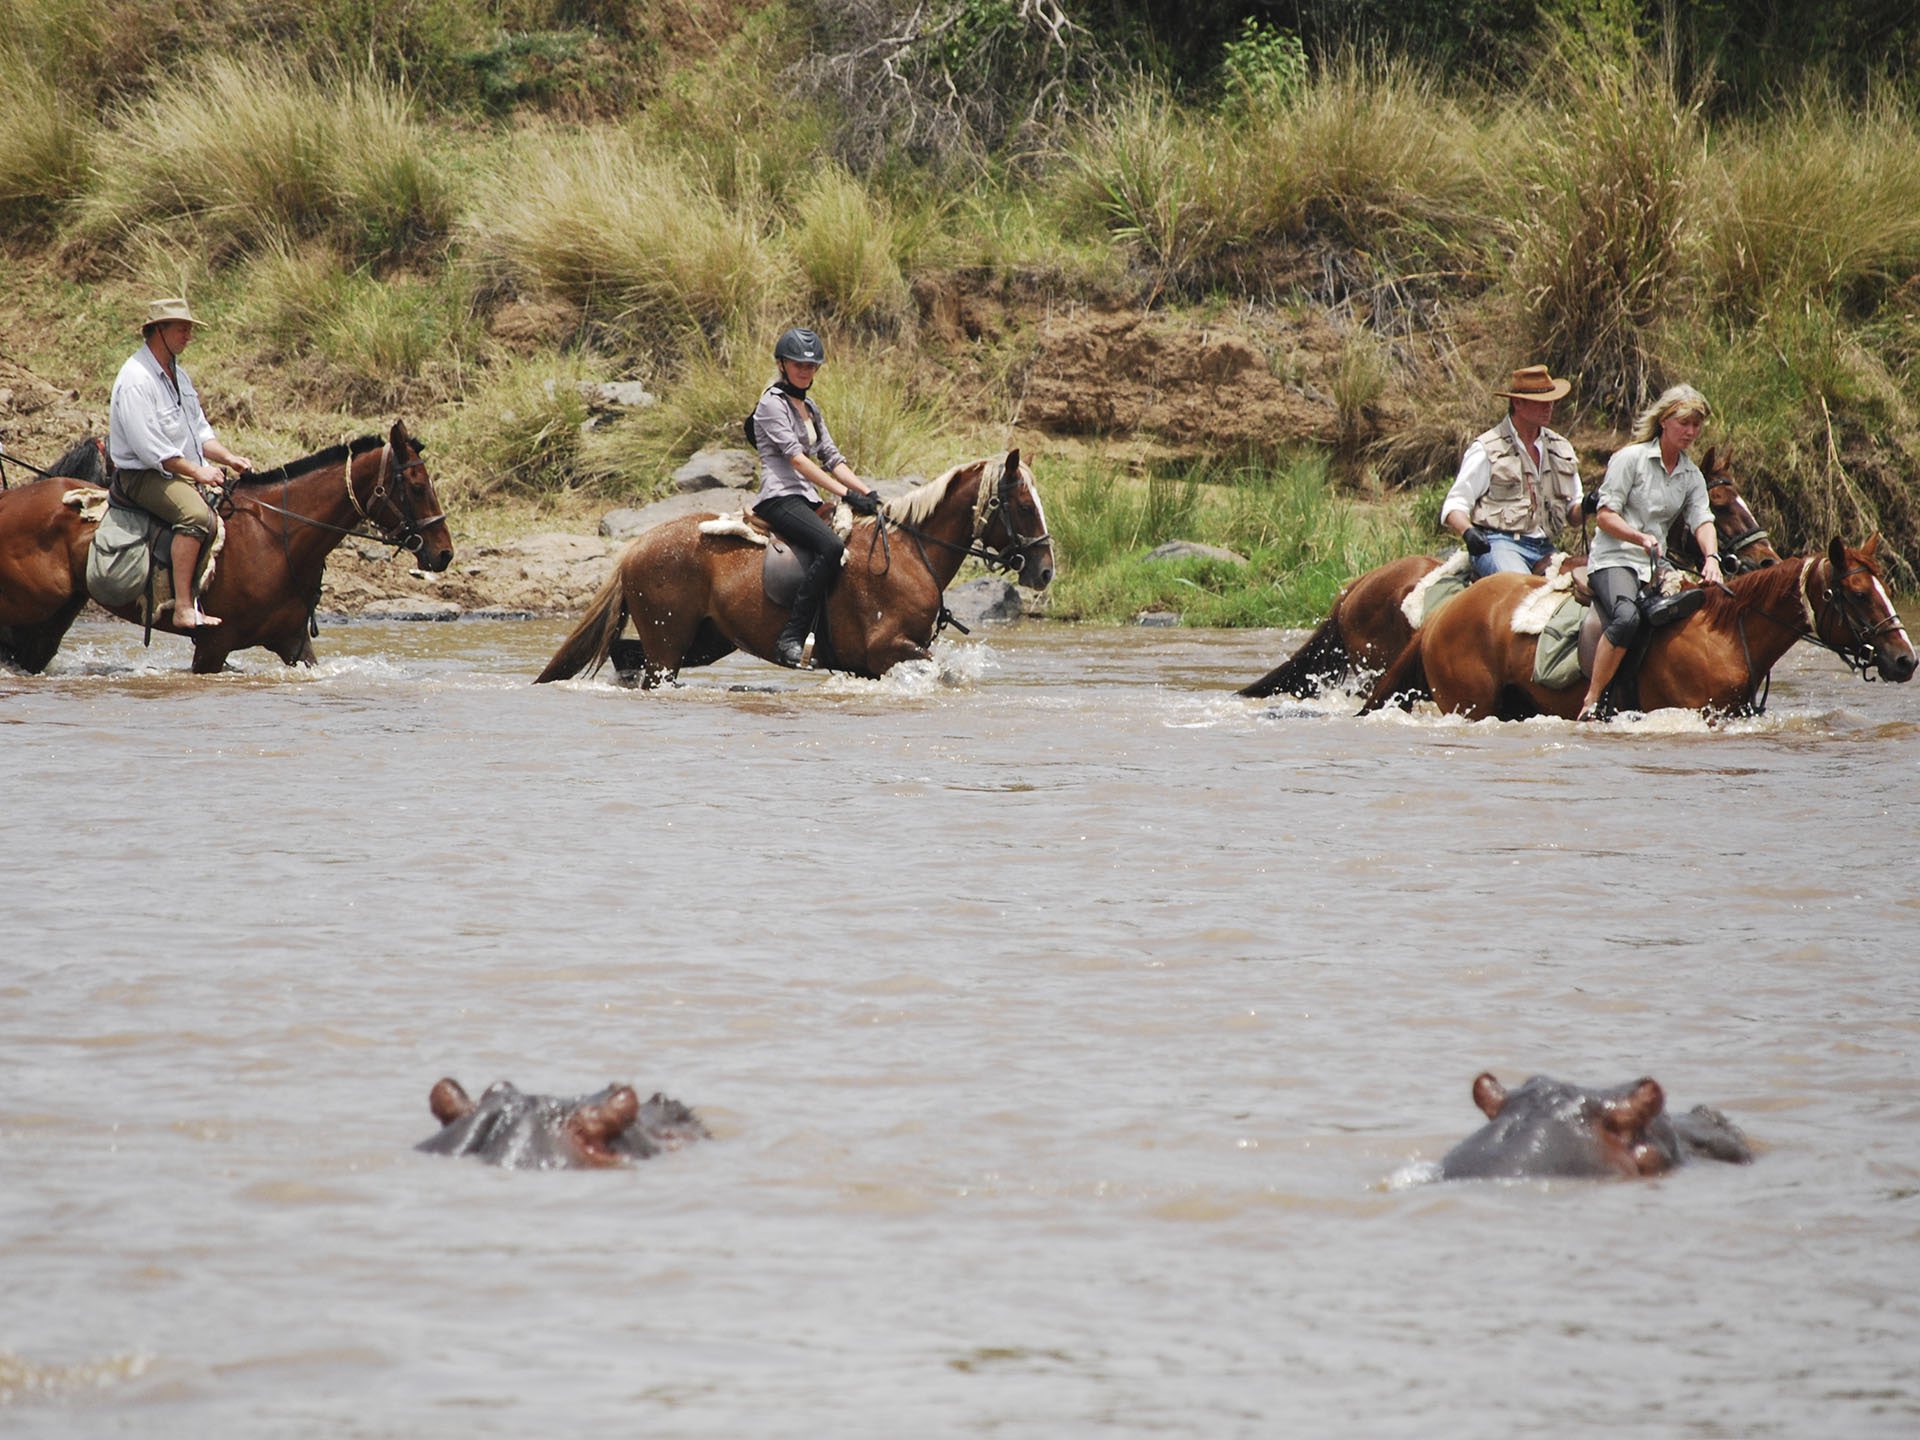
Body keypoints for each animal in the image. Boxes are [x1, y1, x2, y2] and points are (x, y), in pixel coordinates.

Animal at [0, 422, 453, 675]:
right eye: (416, 487)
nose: (444, 553)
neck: (278, 537)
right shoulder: (213, 646)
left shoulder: (293, 643)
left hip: (50, 620)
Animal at [537, 456, 1052, 695]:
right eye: (1025, 506)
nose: (1045, 571)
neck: (911, 553)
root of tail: (636, 548)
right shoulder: (888, 650)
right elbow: (943, 672)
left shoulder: (869, 665)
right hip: (670, 639)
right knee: (650, 671)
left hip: (704, 639)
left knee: (627, 656)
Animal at [1359, 537, 1912, 721]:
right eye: (1858, 594)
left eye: (1883, 587)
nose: (1907, 659)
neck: (1725, 636)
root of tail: (1439, 616)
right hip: (1471, 706)